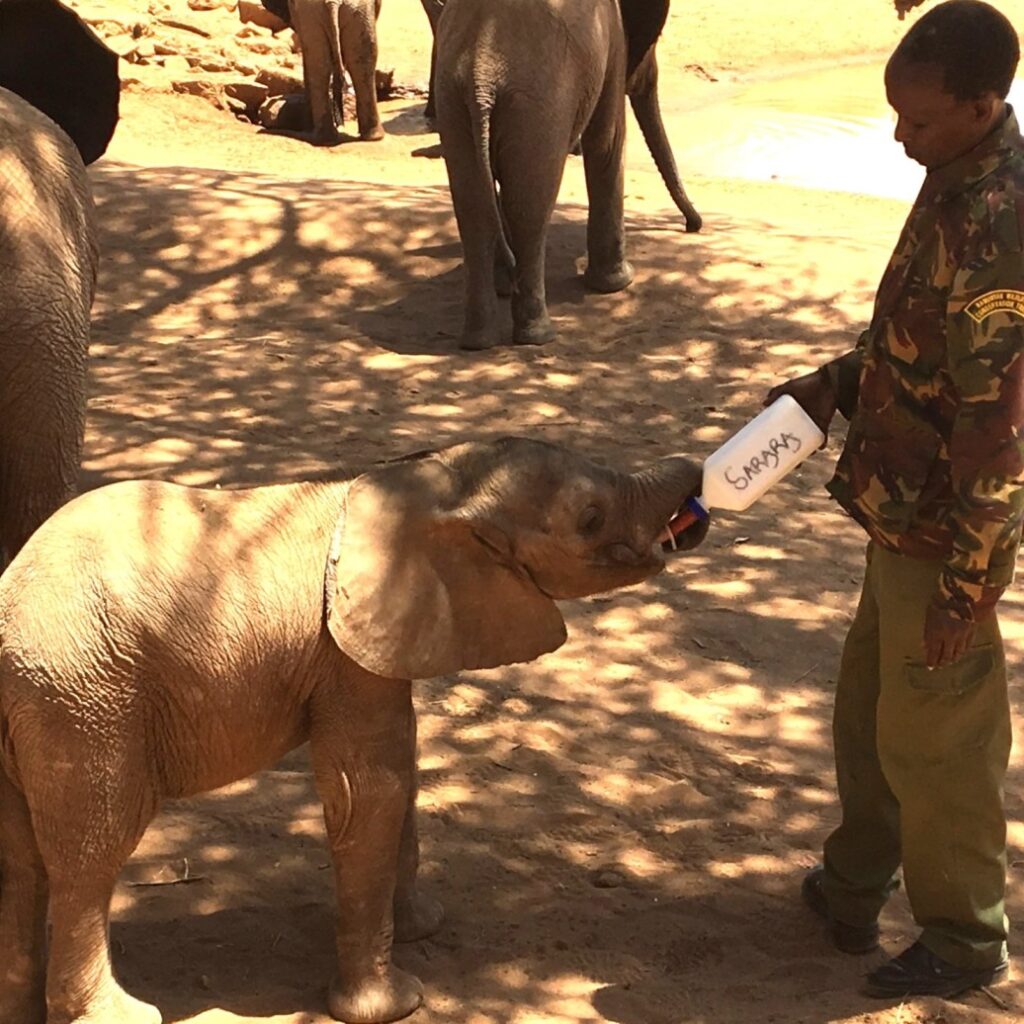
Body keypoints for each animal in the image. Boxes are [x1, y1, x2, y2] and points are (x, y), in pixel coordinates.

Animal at [0, 436, 706, 1024]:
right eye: (589, 517)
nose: (699, 483)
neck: (430, 478)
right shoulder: (342, 649)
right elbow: (369, 790)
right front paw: (396, 1005)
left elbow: (404, 768)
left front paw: (423, 927)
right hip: (85, 695)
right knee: (92, 852)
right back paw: (120, 1016)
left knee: (23, 859)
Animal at [435, 0, 703, 350]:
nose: (693, 225)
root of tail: (480, 77)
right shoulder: (614, 41)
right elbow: (607, 140)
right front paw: (618, 283)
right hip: (537, 107)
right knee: (530, 209)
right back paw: (538, 336)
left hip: (453, 102)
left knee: (474, 211)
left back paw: (479, 340)